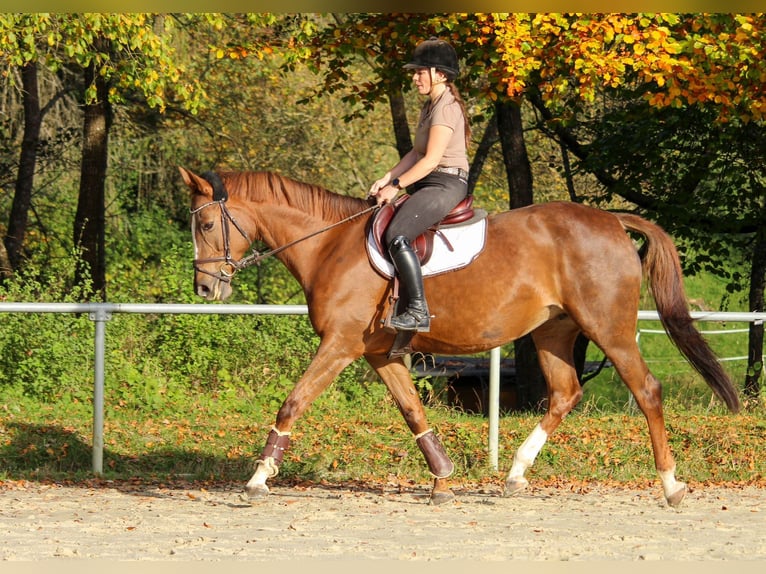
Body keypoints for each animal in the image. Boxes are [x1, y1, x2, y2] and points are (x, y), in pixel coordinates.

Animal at [182, 166, 744, 508]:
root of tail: (610, 219)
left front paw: (258, 478)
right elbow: (414, 412)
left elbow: (293, 403)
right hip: (554, 330)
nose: (205, 288)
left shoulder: (339, 346)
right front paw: (443, 479)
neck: (330, 244)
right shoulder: (380, 354)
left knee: (647, 391)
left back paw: (670, 485)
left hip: (609, 328)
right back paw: (516, 473)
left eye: (206, 224)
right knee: (565, 393)